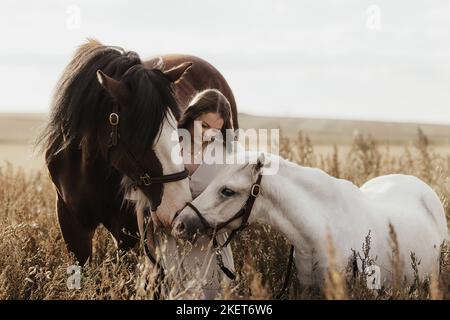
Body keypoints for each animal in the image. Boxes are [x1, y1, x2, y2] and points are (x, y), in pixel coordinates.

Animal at [40, 40, 237, 264]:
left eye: (177, 126)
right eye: (141, 135)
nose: (179, 209)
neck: (88, 168)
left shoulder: (127, 231)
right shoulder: (71, 224)